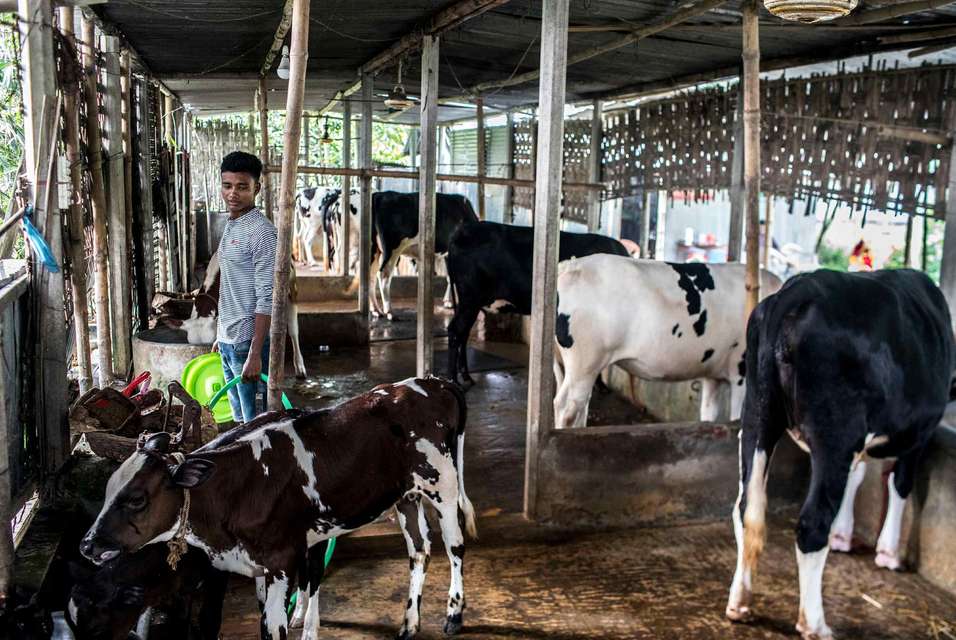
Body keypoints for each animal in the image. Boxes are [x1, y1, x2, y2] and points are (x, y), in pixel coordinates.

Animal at [80, 378, 476, 640]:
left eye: (136, 499)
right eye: (107, 490)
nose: (87, 544)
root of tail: (433, 382)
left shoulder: (280, 563)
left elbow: (273, 627)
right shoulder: (256, 566)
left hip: (443, 483)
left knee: (454, 546)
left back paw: (453, 614)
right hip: (407, 497)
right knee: (420, 551)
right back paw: (409, 623)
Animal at [444, 221, 632, 384]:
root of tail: (462, 231)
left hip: (470, 302)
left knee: (463, 333)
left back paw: (466, 376)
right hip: (470, 298)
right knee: (455, 330)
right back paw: (453, 380)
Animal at [556, 256, 780, 430]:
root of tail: (571, 265)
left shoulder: (713, 374)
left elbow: (708, 415)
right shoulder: (741, 370)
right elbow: (737, 419)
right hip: (585, 363)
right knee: (565, 407)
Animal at [728, 270, 952, 640]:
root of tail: (796, 291)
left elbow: (857, 478)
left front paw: (844, 534)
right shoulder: (918, 432)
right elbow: (901, 484)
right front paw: (888, 552)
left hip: (757, 416)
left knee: (747, 509)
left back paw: (740, 603)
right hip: (835, 431)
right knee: (812, 524)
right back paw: (815, 624)